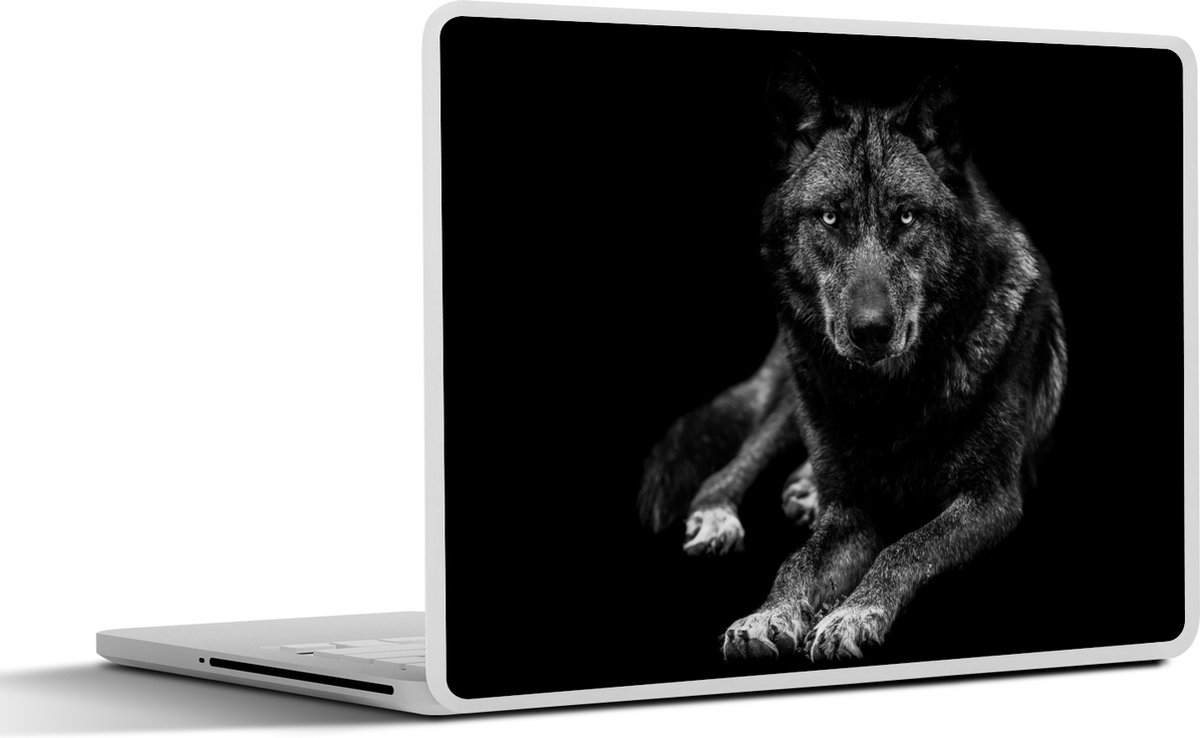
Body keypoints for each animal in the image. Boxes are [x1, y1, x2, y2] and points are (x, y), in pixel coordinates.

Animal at [637, 57, 1067, 662]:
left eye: (907, 217)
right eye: (830, 218)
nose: (870, 331)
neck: (888, 398)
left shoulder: (992, 498)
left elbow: (907, 546)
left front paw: (850, 614)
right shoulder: (852, 513)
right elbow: (797, 562)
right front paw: (767, 616)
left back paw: (803, 491)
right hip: (797, 395)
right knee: (732, 465)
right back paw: (723, 511)